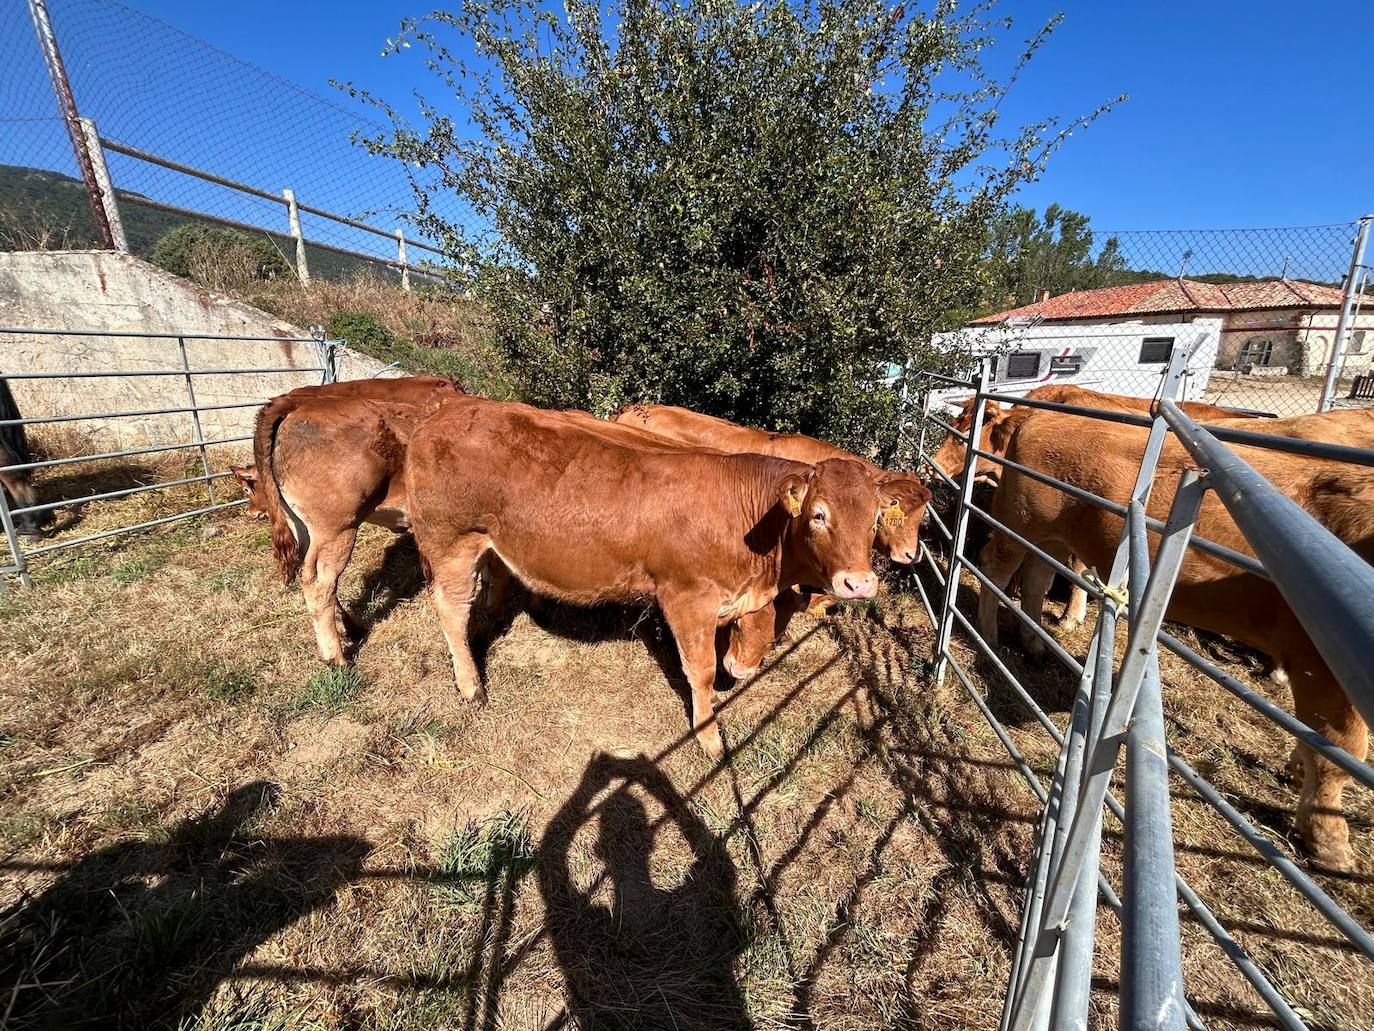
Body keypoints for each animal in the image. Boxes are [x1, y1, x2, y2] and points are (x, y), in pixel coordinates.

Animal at [401, 398, 884, 764]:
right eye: (819, 514)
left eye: (875, 519)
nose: (859, 584)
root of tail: (445, 412)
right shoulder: (688, 596)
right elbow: (701, 671)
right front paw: (709, 736)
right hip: (451, 541)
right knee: (451, 609)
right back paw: (471, 687)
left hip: (492, 542)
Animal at [978, 412, 1374, 874]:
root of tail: (1040, 416)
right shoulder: (1319, 663)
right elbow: (1341, 751)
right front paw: (1332, 847)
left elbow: (1318, 740)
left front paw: (1296, 774)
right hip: (1018, 523)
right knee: (995, 567)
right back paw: (989, 635)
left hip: (1050, 536)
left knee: (1037, 578)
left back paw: (1035, 645)